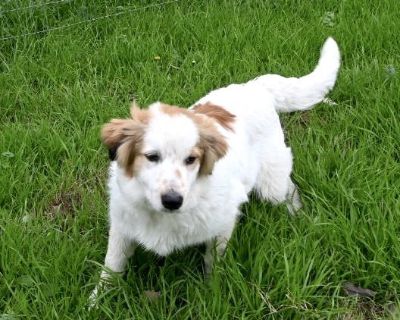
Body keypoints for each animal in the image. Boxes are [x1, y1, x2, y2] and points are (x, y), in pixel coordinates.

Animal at [89, 37, 340, 302]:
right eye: (152, 157)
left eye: (191, 159)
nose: (173, 201)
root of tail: (256, 87)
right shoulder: (121, 228)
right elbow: (112, 265)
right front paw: (97, 301)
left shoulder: (224, 222)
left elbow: (213, 260)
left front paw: (211, 291)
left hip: (273, 184)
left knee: (288, 189)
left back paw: (296, 214)